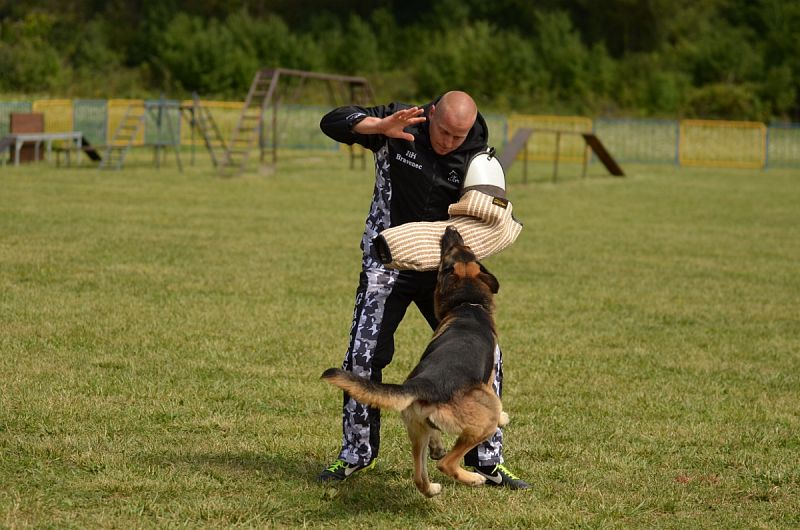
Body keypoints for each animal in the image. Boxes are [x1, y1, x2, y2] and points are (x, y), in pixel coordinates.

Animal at [320, 224, 504, 496]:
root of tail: (425, 384)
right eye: (453, 249)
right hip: (485, 415)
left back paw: (433, 489)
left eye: (463, 247)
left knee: (420, 476)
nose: (450, 227)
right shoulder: (489, 380)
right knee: (447, 463)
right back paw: (473, 478)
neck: (466, 304)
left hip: (416, 429)